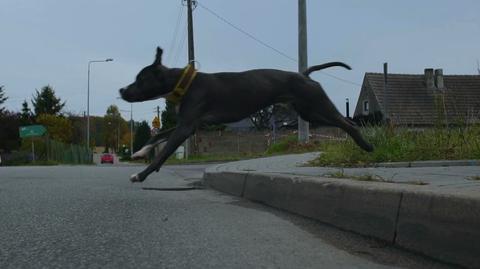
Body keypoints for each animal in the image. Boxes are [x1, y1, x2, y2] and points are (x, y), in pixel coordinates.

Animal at [118, 47, 374, 182]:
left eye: (140, 79)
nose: (121, 90)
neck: (184, 83)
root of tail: (304, 74)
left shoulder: (186, 127)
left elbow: (163, 154)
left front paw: (141, 174)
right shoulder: (188, 124)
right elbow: (156, 136)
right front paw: (140, 152)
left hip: (317, 107)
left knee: (348, 123)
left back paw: (367, 145)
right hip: (311, 114)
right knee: (344, 122)